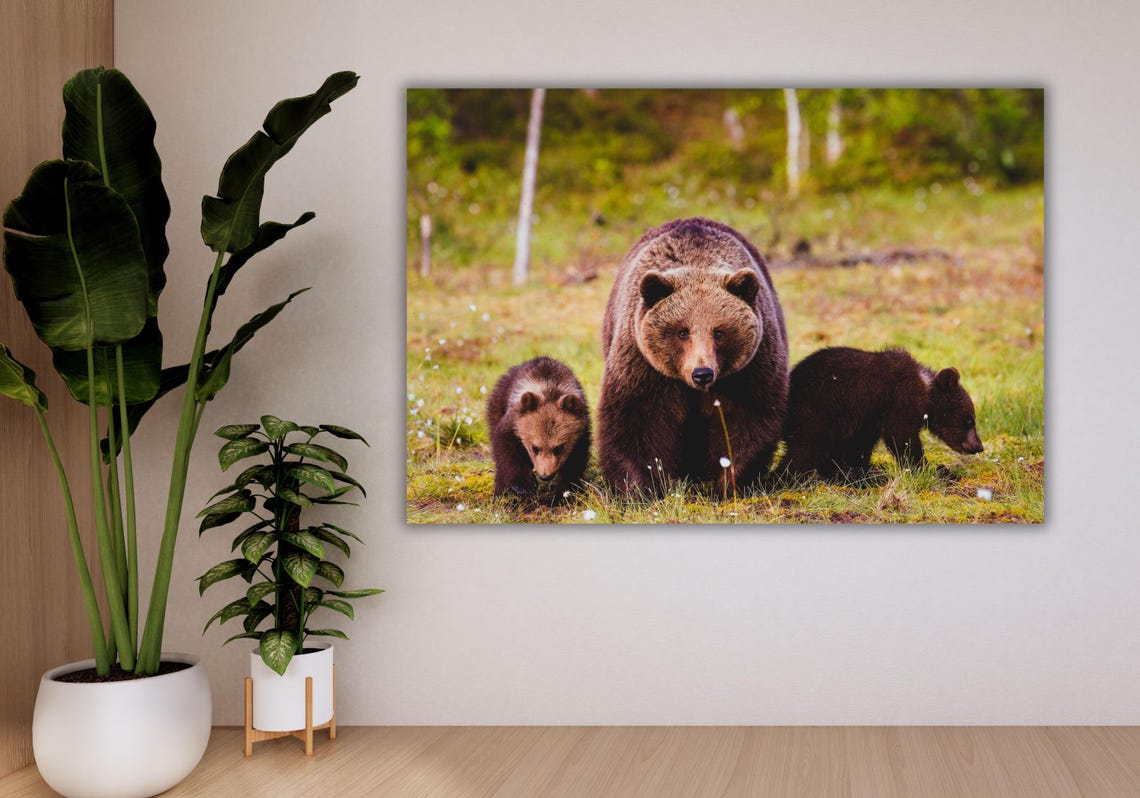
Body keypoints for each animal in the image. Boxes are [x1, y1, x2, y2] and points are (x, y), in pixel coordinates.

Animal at [486, 356, 591, 502]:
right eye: (535, 447)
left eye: (558, 448)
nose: (545, 475)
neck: (549, 388)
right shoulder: (513, 422)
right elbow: (506, 449)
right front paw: (523, 486)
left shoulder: (581, 433)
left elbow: (576, 460)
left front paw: (563, 491)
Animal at [597, 217, 789, 495]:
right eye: (682, 331)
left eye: (719, 331)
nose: (702, 374)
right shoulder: (644, 367)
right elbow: (635, 420)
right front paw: (640, 487)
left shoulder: (748, 370)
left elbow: (746, 419)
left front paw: (727, 483)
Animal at [779, 347, 984, 480]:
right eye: (969, 420)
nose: (978, 446)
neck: (926, 391)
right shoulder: (899, 399)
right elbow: (902, 436)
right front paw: (927, 469)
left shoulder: (869, 417)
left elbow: (860, 445)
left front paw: (860, 468)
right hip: (816, 410)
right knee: (806, 448)